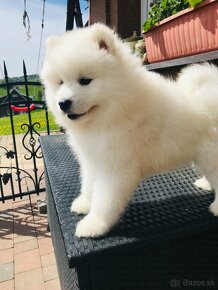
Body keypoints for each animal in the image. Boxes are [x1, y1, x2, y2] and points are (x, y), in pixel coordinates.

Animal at [41, 23, 218, 238]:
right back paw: (206, 184)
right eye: (60, 83)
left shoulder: (116, 167)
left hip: (211, 154)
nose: (63, 103)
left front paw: (94, 224)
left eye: (85, 80)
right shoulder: (93, 159)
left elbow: (105, 199)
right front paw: (84, 203)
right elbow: (89, 184)